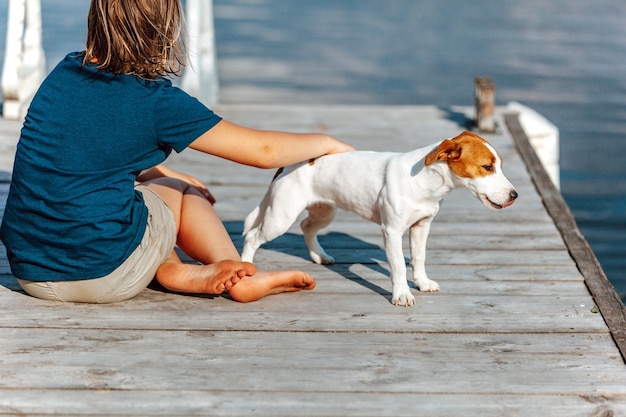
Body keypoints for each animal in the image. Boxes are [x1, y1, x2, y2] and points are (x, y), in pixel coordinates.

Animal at [241, 131, 516, 306]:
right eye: (487, 167)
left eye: (500, 166)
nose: (515, 195)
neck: (426, 182)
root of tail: (286, 165)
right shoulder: (392, 231)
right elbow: (398, 265)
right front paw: (402, 294)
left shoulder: (421, 226)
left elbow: (419, 258)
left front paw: (422, 282)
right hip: (280, 217)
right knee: (253, 236)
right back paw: (246, 268)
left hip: (324, 212)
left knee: (307, 226)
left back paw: (320, 255)